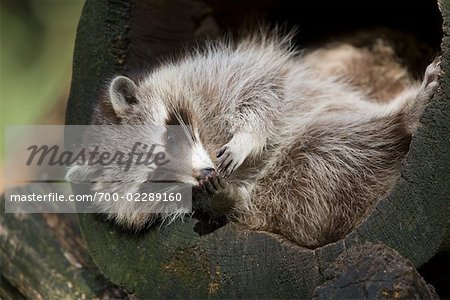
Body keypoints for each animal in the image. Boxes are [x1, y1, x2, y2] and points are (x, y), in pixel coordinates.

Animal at [67, 29, 440, 248]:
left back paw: (403, 117)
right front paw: (216, 200)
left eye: (172, 140)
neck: (207, 136)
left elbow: (262, 90)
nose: (206, 174)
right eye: (155, 178)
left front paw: (247, 137)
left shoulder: (212, 77)